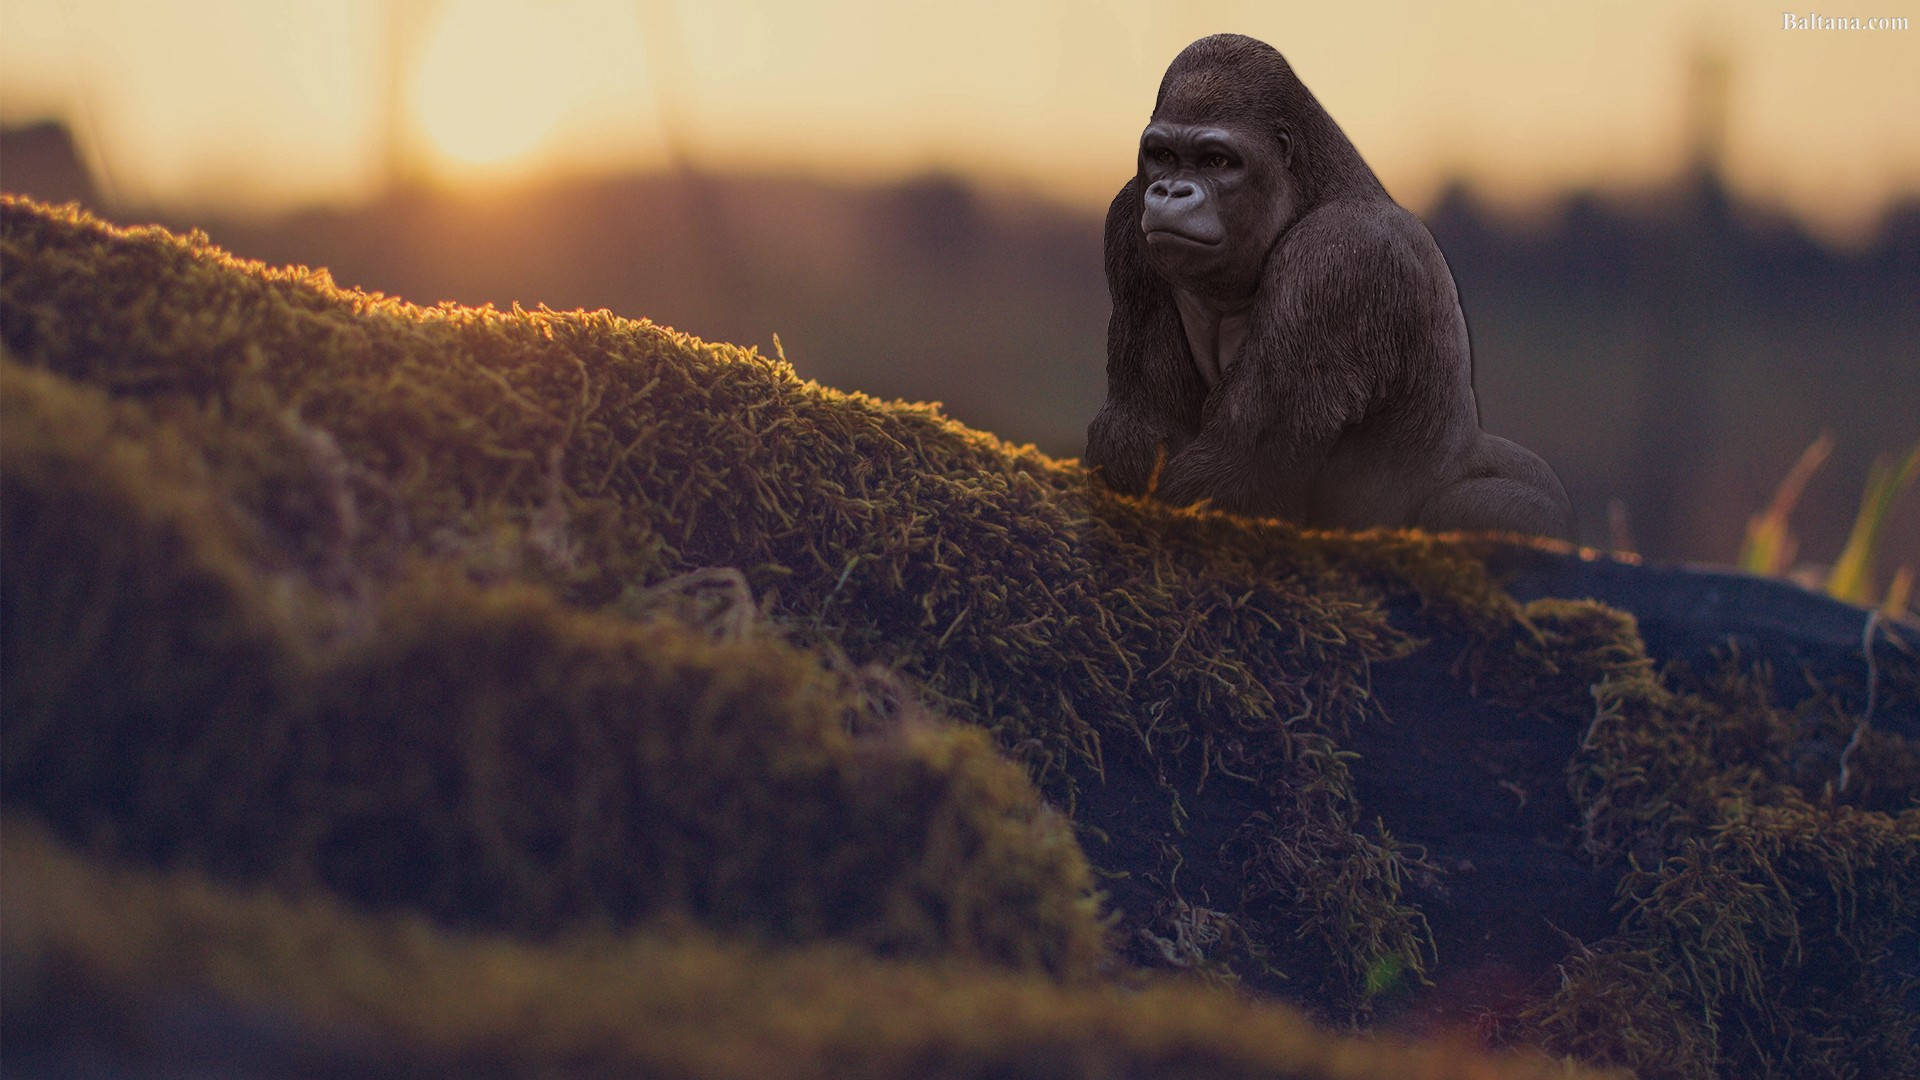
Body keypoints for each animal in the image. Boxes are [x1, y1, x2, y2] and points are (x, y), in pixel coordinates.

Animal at [1085, 34, 1574, 540]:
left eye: (1217, 161)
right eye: (1162, 155)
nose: (1170, 191)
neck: (1304, 188)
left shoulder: (1337, 255)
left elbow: (1237, 464)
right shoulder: (1125, 217)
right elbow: (1140, 424)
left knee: (1480, 509)